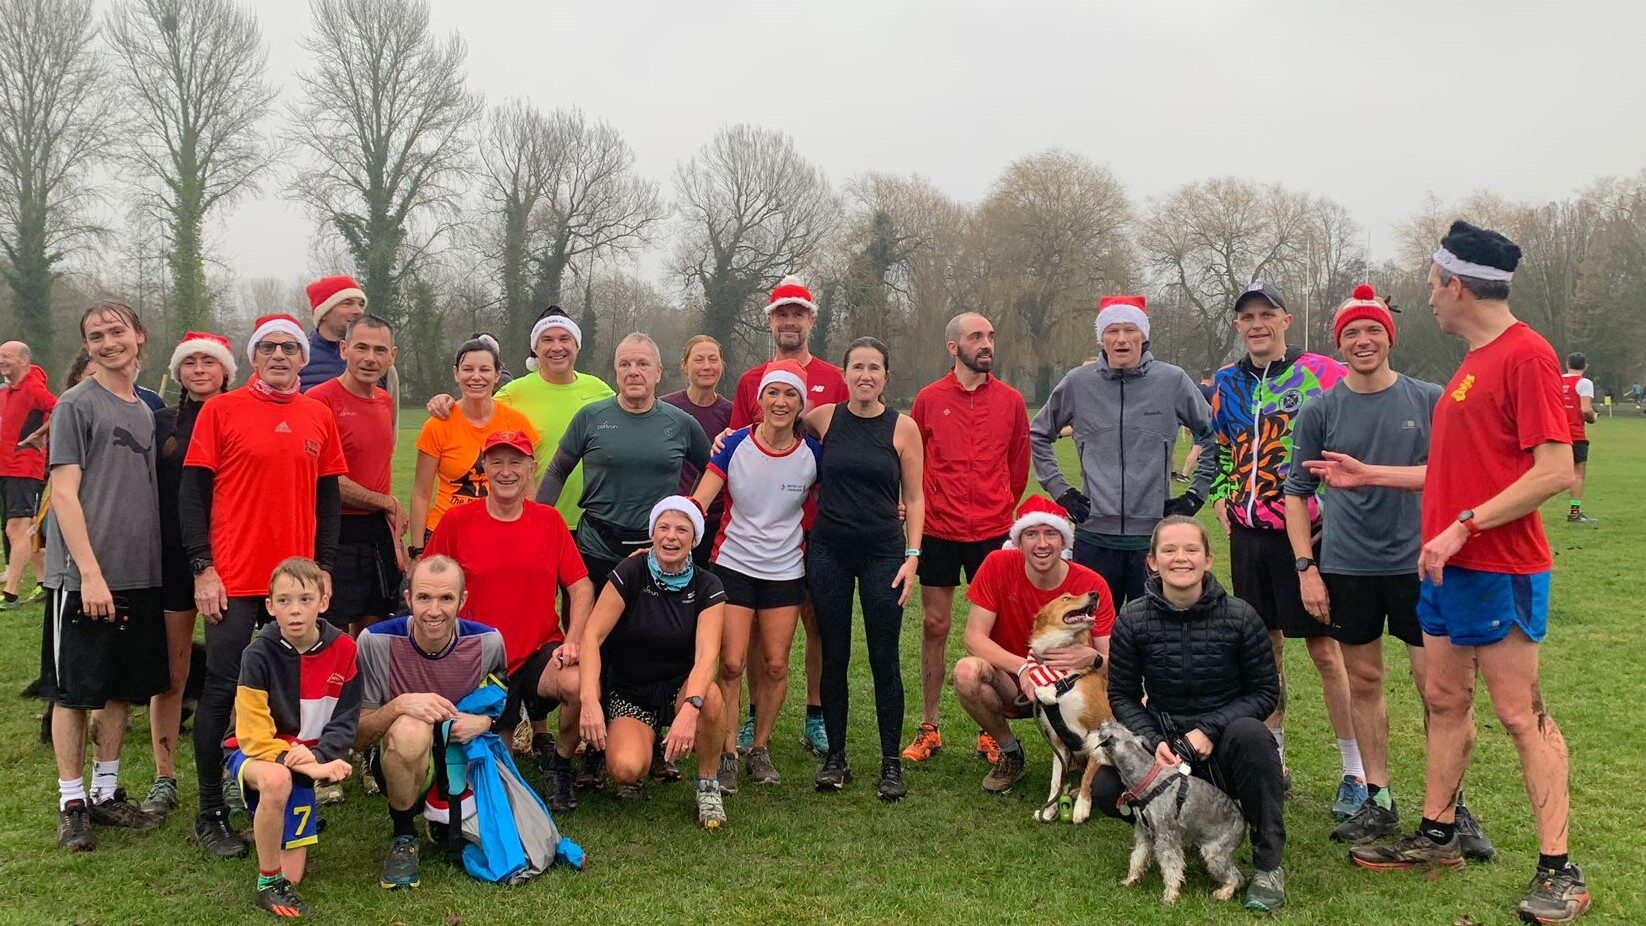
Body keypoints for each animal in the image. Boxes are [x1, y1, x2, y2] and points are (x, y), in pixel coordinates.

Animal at [1027, 592, 1119, 822]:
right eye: (1066, 598)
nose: (1095, 593)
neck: (1063, 678)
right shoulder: (1058, 742)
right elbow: (1056, 780)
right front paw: (1050, 808)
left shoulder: (1101, 725)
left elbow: (1090, 772)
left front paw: (1082, 807)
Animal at [1106, 717, 1244, 907]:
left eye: (1100, 730)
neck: (1146, 777)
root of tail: (1243, 821)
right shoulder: (1144, 832)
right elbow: (1137, 856)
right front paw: (1131, 879)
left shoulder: (1166, 837)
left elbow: (1172, 868)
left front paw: (1170, 896)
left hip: (1216, 854)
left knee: (1236, 877)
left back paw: (1223, 893)